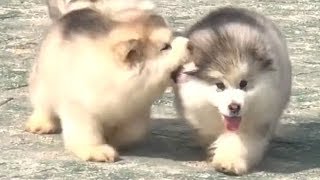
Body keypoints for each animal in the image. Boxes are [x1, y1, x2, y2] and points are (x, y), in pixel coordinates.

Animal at [26, 3, 191, 162]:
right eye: (165, 47)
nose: (190, 44)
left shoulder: (136, 110)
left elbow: (133, 132)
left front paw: (114, 140)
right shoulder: (80, 108)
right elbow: (86, 132)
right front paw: (97, 151)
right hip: (43, 83)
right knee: (43, 104)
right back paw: (41, 125)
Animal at [172, 7, 292, 176]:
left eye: (243, 83)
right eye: (219, 85)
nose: (234, 107)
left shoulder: (257, 120)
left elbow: (239, 142)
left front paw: (228, 162)